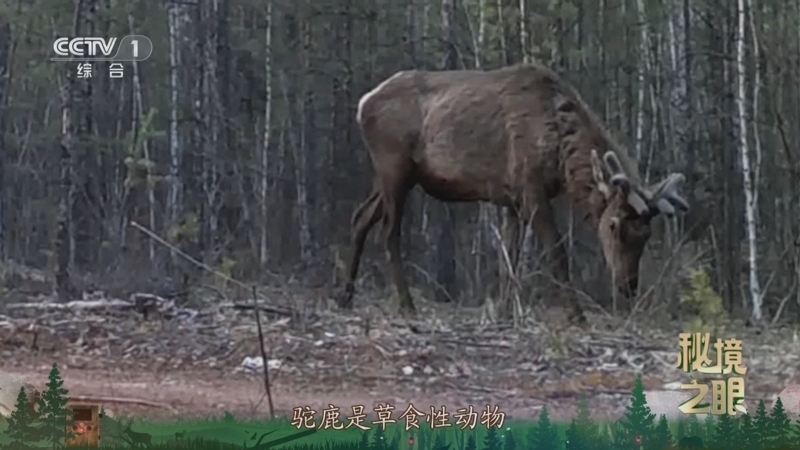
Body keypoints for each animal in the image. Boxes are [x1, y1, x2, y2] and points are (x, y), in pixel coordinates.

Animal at [338, 63, 689, 323]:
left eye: (646, 235)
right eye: (614, 225)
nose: (628, 285)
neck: (560, 156)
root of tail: (362, 103)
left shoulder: (512, 199)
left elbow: (510, 256)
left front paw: (505, 312)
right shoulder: (531, 188)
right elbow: (556, 251)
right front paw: (577, 316)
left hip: (391, 177)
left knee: (359, 218)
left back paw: (345, 297)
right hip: (394, 167)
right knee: (389, 232)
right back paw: (406, 304)